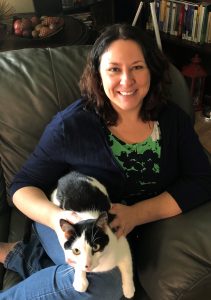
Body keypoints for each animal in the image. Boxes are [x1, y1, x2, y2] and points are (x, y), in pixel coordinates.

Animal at [50, 170, 135, 298]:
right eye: (76, 250)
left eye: (95, 247)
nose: (87, 266)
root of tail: (69, 175)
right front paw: (80, 281)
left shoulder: (120, 239)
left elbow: (128, 266)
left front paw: (129, 289)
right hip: (56, 197)